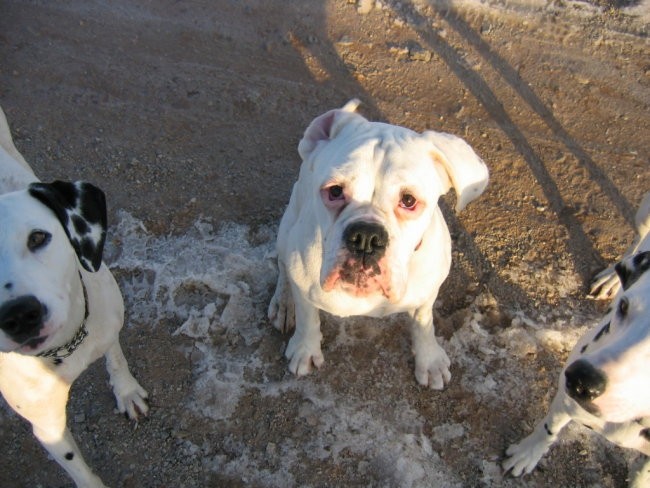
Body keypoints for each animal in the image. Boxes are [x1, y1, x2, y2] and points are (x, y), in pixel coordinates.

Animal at [0, 107, 147, 488]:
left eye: (38, 238)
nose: (19, 316)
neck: (65, 347)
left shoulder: (108, 327)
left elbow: (116, 360)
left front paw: (126, 392)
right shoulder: (48, 427)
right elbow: (79, 470)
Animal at [264, 100, 486, 388]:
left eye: (409, 200)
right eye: (335, 191)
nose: (366, 237)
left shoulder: (427, 295)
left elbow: (423, 323)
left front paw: (429, 360)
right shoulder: (304, 288)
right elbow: (308, 319)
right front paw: (305, 349)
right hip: (287, 228)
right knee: (282, 268)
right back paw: (283, 303)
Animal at [502, 196, 648, 486]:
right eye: (624, 307)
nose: (581, 379)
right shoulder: (566, 401)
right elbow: (548, 430)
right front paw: (527, 453)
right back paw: (613, 277)